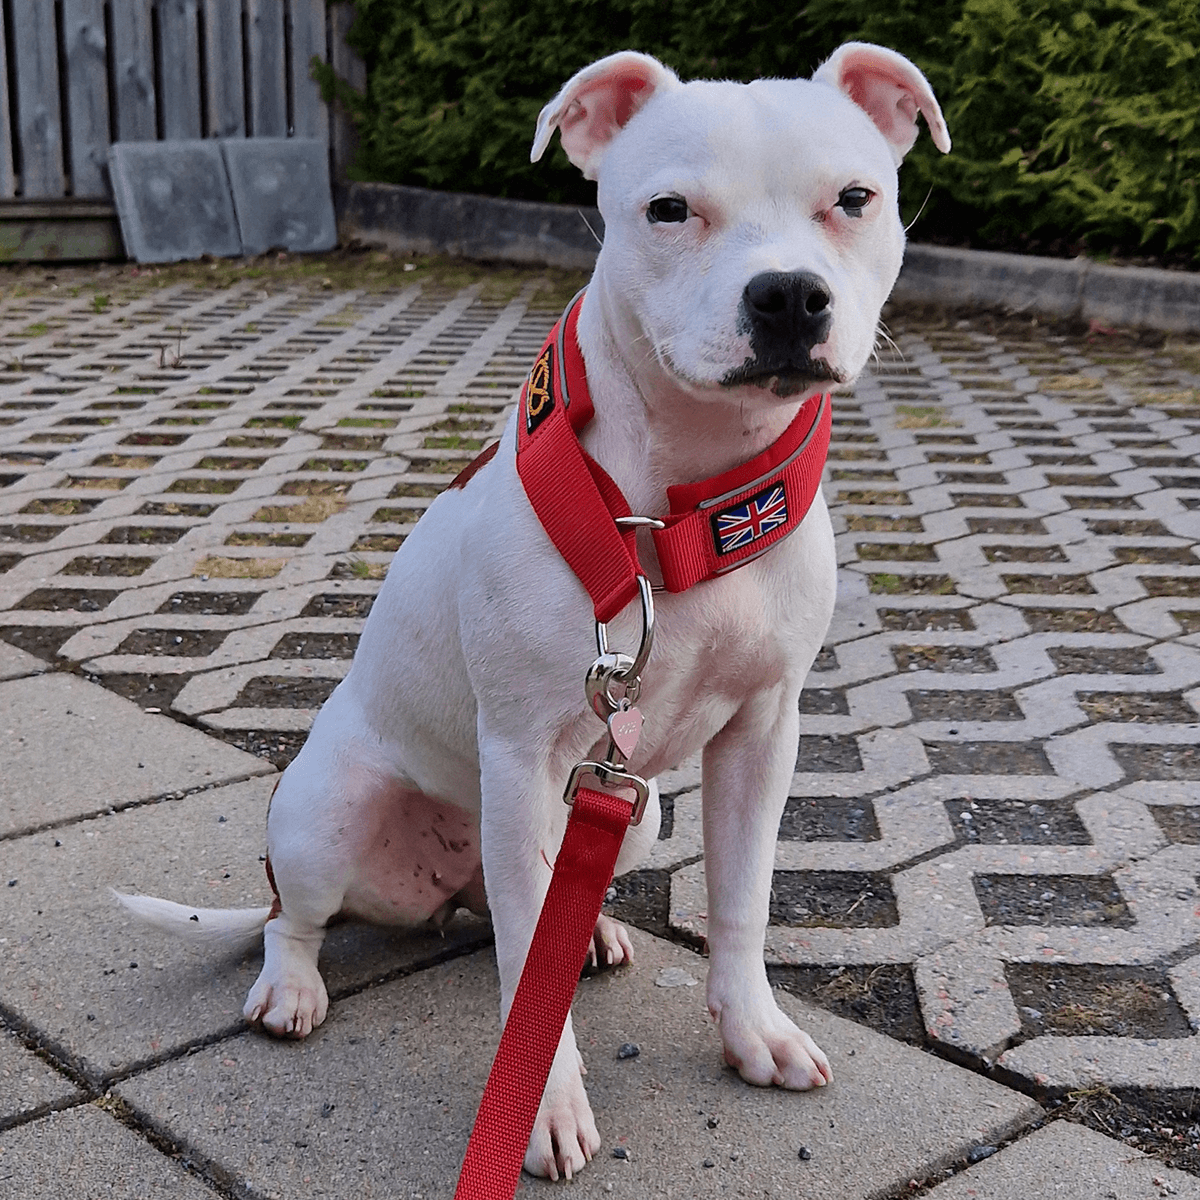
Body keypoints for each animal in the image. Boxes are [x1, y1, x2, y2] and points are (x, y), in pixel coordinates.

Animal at [119, 44, 945, 1180]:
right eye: (669, 210)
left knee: (551, 897)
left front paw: (753, 1033)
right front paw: (542, 1107)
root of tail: (437, 888)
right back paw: (290, 987)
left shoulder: (763, 734)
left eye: (854, 200)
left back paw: (588, 933)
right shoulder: (521, 758)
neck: (677, 509)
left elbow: (741, 902)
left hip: (638, 813)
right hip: (325, 812)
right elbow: (524, 969)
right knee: (304, 914)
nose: (787, 295)